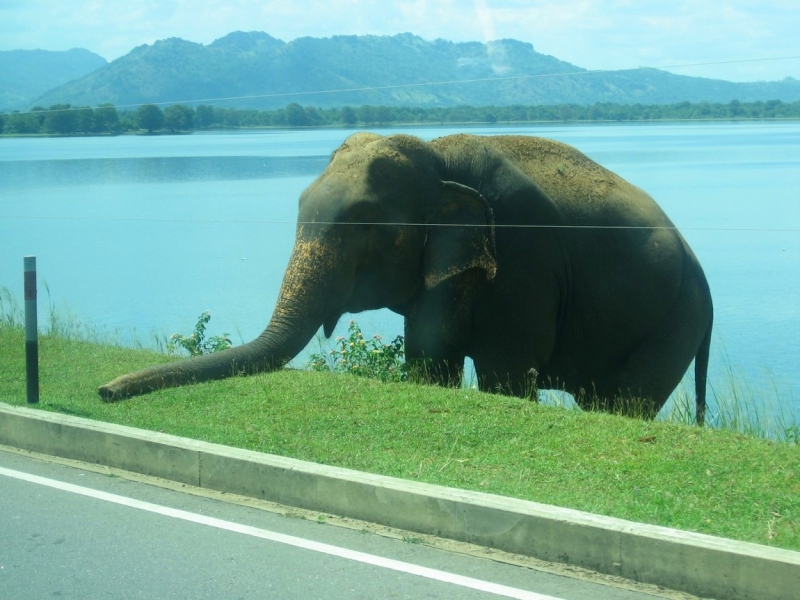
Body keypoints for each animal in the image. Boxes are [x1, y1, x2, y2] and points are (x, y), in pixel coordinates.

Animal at [97, 134, 716, 424]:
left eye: (363, 225)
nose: (104, 391)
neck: (439, 156)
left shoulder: (525, 261)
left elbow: (506, 376)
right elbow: (429, 361)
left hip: (675, 321)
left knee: (629, 403)